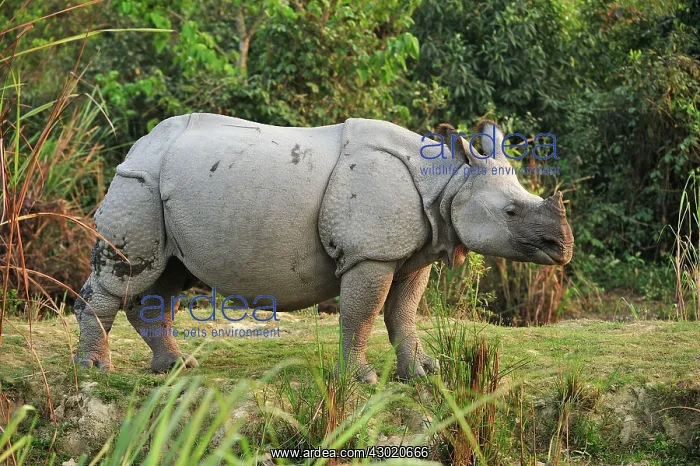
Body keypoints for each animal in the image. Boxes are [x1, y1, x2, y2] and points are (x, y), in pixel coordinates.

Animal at [74, 114, 573, 381]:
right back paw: (95, 371)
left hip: (162, 186)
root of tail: (140, 145)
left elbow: (404, 314)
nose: (563, 247)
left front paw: (422, 373)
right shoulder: (370, 252)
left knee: (168, 275)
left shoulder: (414, 252)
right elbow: (361, 314)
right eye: (511, 212)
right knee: (125, 273)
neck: (447, 183)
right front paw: (362, 378)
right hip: (138, 182)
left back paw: (177, 367)